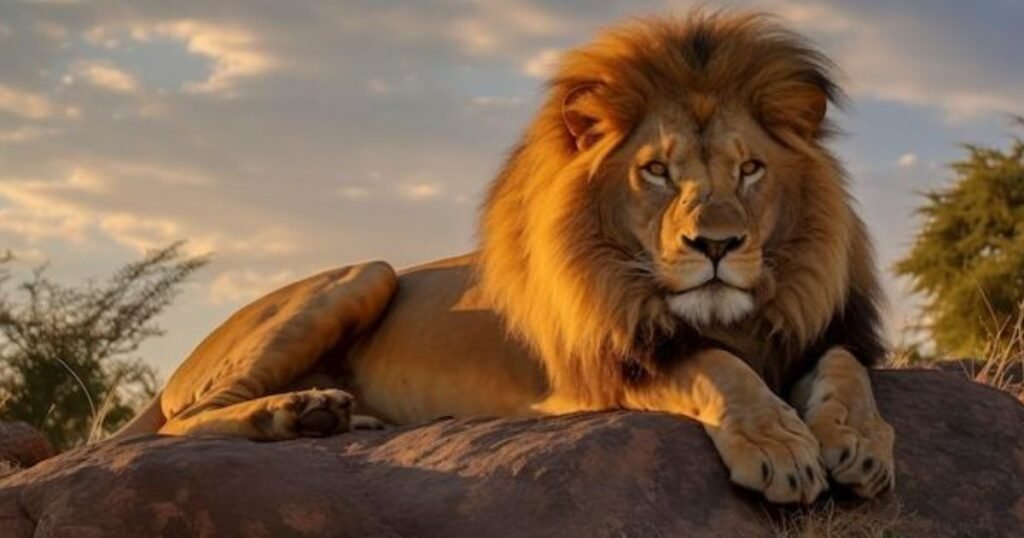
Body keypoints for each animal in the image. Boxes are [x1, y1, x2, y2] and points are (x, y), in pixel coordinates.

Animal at [115, 12, 895, 504]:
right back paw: (298, 414)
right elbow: (717, 370)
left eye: (750, 169)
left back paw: (339, 415)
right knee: (182, 424)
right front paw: (780, 447)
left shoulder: (821, 329)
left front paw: (859, 442)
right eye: (657, 171)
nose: (717, 245)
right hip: (367, 273)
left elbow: (847, 369)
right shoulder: (608, 361)